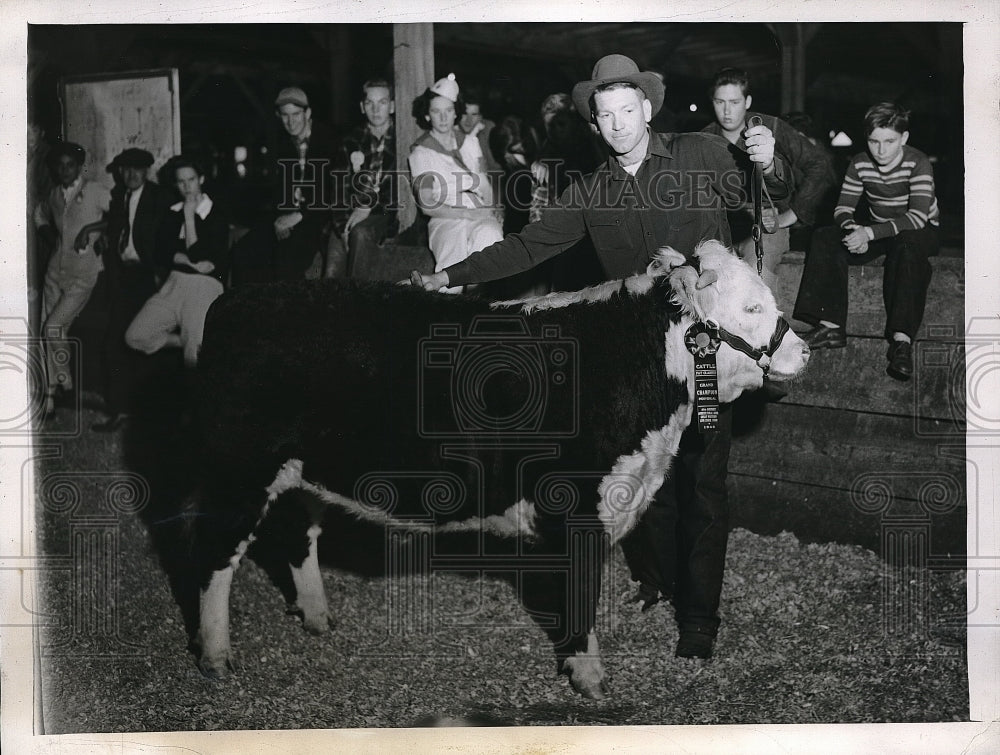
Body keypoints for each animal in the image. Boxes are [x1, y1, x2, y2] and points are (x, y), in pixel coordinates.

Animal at [189, 239, 812, 700]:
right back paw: (216, 655)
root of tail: (240, 299)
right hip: (234, 470)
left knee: (301, 536)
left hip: (306, 469)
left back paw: (317, 618)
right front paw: (589, 676)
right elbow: (581, 593)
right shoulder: (576, 509)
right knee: (213, 557)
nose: (804, 352)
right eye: (752, 308)